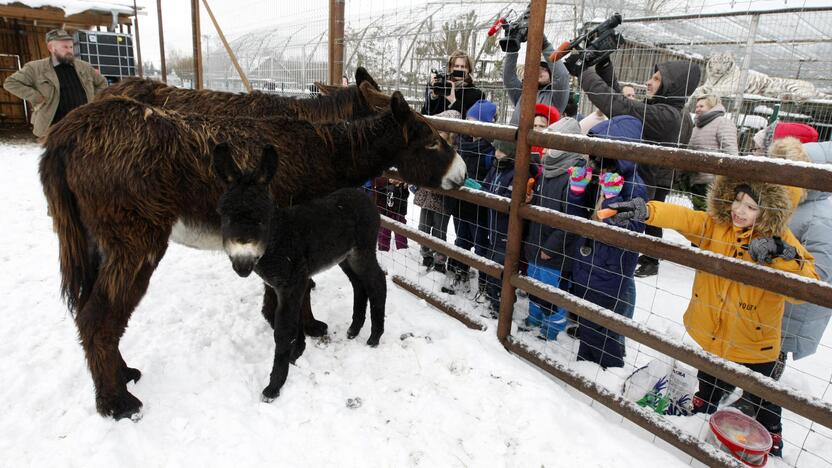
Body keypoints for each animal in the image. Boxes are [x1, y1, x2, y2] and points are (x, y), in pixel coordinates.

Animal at [696, 52, 824, 101]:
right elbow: (700, 88)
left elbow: (713, 91)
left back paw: (789, 96)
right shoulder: (708, 84)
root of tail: (813, 86)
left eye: (725, 62)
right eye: (716, 61)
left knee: (806, 95)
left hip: (792, 85)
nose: (718, 69)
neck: (715, 77)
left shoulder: (727, 87)